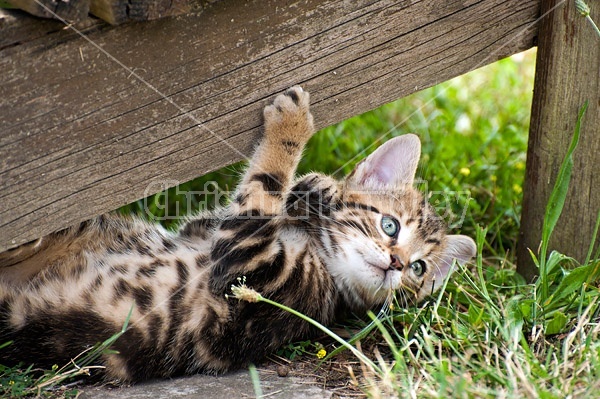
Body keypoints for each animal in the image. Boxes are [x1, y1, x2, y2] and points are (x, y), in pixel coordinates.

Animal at [1, 86, 478, 382]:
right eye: (390, 225)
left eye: (419, 269)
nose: (397, 263)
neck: (322, 260)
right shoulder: (204, 228)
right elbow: (278, 196)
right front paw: (316, 190)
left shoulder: (251, 271)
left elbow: (263, 187)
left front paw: (291, 127)